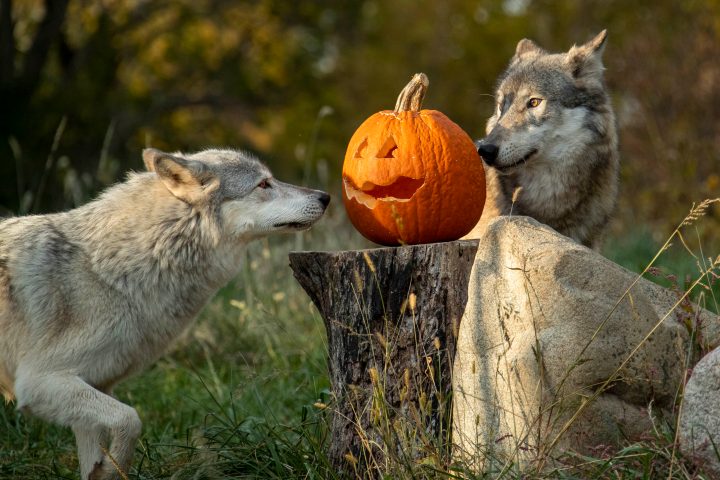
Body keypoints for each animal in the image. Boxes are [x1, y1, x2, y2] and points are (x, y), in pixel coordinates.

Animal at [0, 148, 330, 478]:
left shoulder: (92, 385)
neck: (112, 271)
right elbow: (131, 420)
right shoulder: (39, 382)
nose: (325, 196)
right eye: (263, 184)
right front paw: (113, 468)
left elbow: (97, 454)